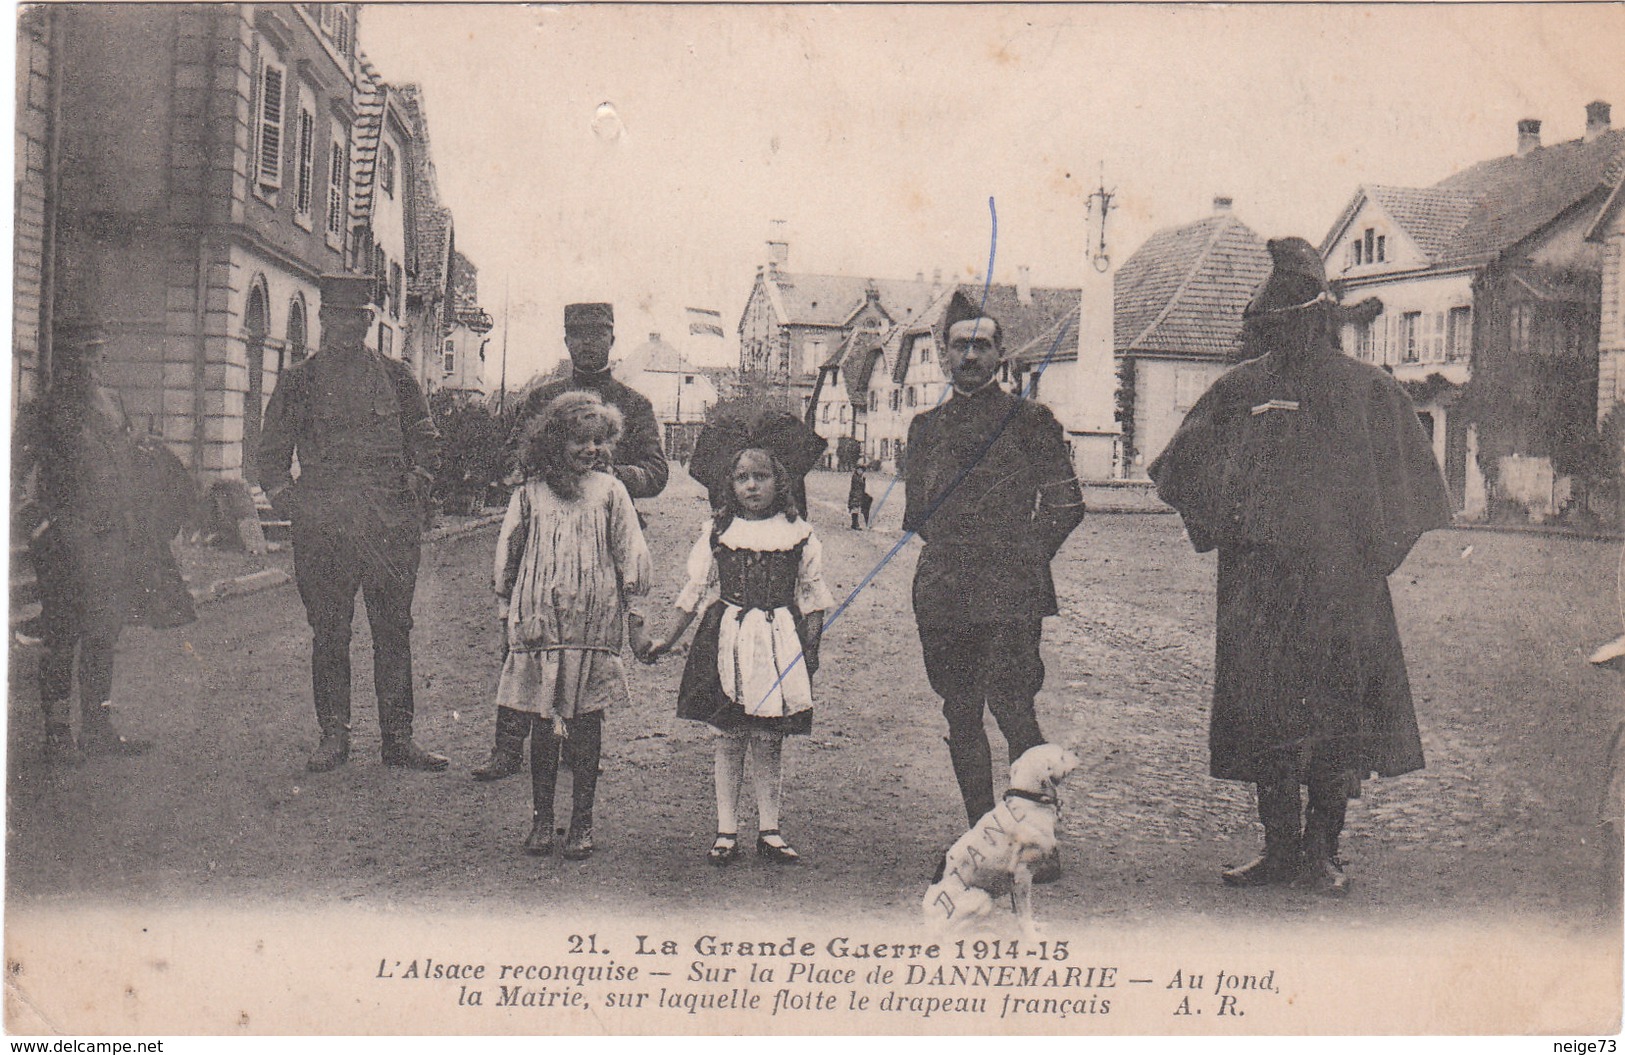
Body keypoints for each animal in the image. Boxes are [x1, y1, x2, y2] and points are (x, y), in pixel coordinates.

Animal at [929, 741, 1079, 936]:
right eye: (1061, 756)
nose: (1076, 753)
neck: (1030, 802)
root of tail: (926, 918)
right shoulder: (1022, 875)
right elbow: (1024, 911)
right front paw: (1030, 935)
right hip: (982, 898)